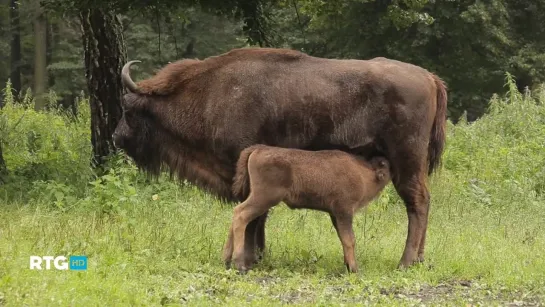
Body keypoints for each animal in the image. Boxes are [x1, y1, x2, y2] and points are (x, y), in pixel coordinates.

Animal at [222, 145, 392, 274]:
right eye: (385, 165)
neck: (363, 174)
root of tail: (259, 149)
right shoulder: (344, 212)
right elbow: (349, 239)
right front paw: (355, 269)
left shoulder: (335, 215)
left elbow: (343, 238)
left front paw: (348, 265)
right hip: (264, 198)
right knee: (241, 215)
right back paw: (239, 264)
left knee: (236, 214)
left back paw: (226, 260)